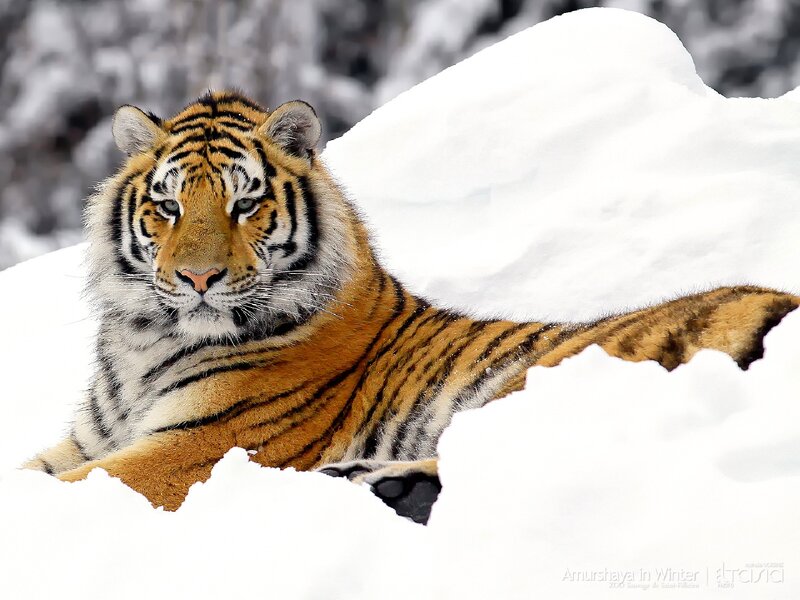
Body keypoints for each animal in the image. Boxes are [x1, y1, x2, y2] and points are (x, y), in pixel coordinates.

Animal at [23, 91, 800, 525]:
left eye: (245, 204)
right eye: (169, 206)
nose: (198, 278)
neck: (144, 344)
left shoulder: (193, 448)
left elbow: (57, 488)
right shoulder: (86, 440)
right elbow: (36, 470)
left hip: (551, 374)